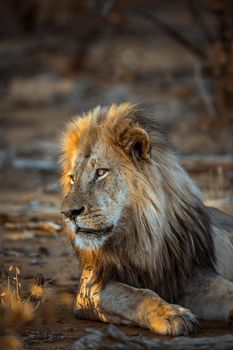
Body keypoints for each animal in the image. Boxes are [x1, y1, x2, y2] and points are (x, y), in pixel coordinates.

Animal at [60, 103, 233, 336]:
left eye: (101, 172)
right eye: (72, 178)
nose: (67, 213)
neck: (140, 236)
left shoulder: (192, 274)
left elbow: (227, 289)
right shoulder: (90, 287)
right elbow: (138, 295)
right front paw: (172, 314)